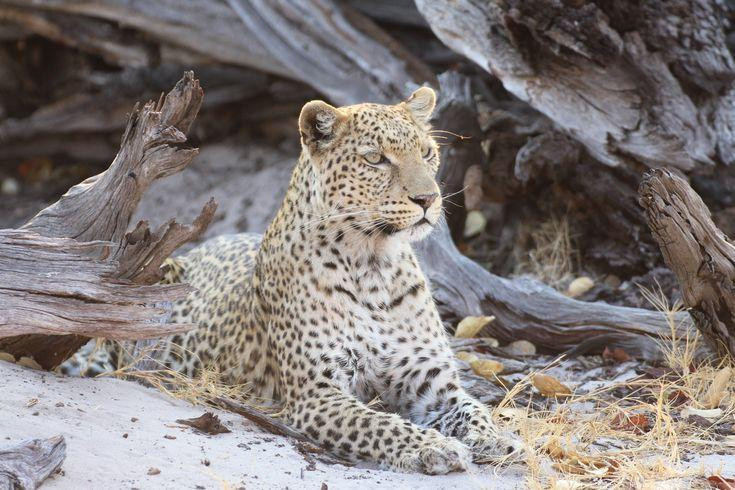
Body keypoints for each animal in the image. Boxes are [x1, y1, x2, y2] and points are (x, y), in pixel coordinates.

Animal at [67, 87, 524, 474]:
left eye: (428, 153)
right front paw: (433, 446)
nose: (428, 199)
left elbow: (475, 410)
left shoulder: (434, 386)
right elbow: (380, 424)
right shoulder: (316, 395)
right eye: (376, 159)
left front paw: (499, 440)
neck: (374, 264)